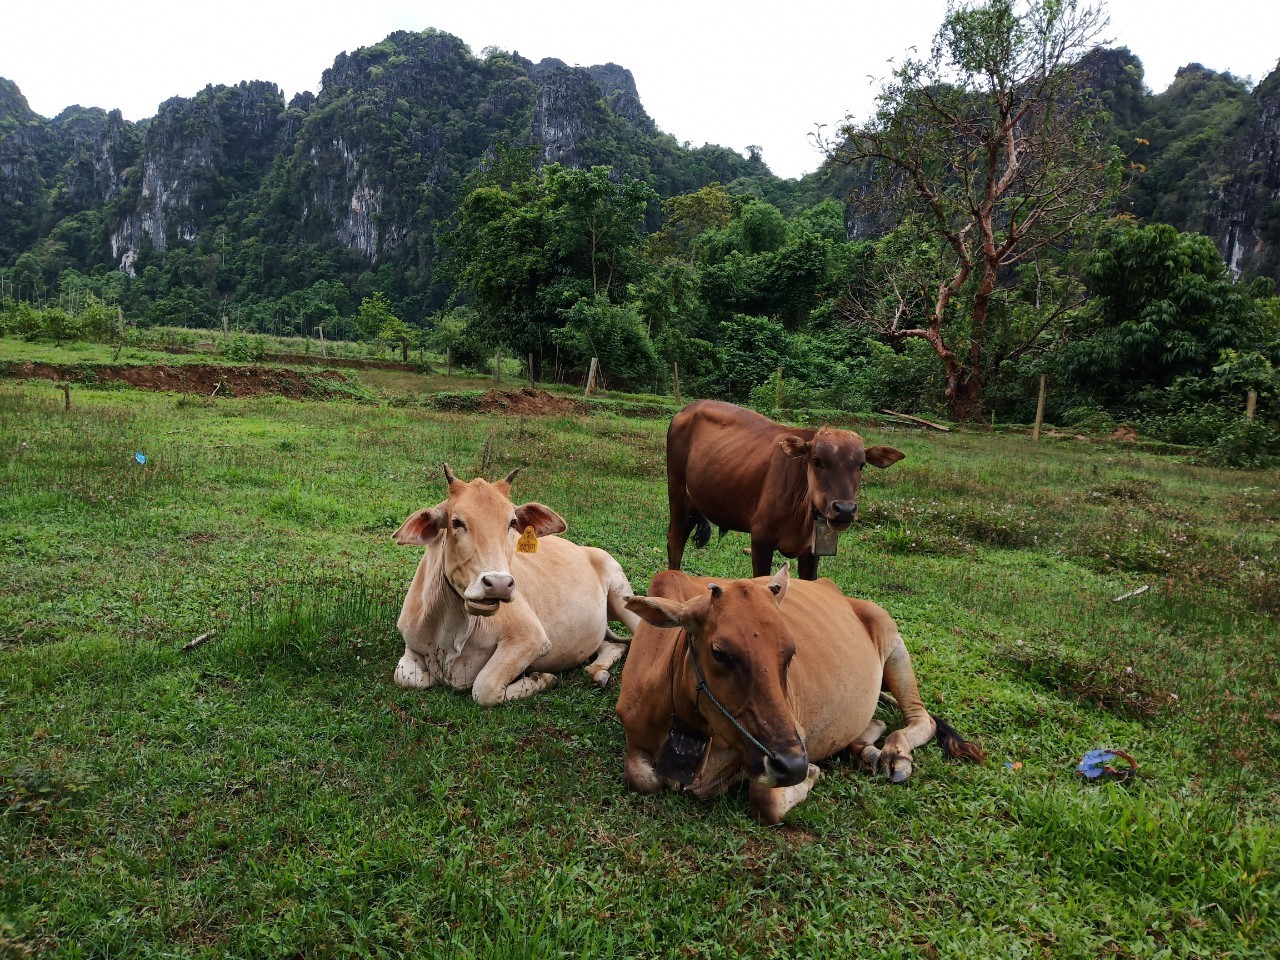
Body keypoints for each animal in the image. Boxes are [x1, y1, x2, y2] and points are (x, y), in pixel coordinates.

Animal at [389, 465, 640, 706]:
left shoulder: (531, 638)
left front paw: (542, 679)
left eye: (512, 522)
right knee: (613, 646)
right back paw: (598, 673)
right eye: (456, 522)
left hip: (624, 598)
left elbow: (484, 688)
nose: (499, 584)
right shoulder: (411, 643)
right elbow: (404, 676)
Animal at [614, 568, 983, 824]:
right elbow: (641, 778)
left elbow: (765, 803)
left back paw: (895, 754)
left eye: (790, 652)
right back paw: (866, 749)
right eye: (719, 653)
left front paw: (813, 773)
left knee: (922, 719)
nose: (793, 766)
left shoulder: (795, 734)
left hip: (893, 643)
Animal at [665, 399, 906, 578]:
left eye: (861, 465)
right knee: (675, 541)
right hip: (678, 492)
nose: (845, 510)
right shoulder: (761, 539)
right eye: (817, 460)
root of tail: (686, 409)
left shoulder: (811, 553)